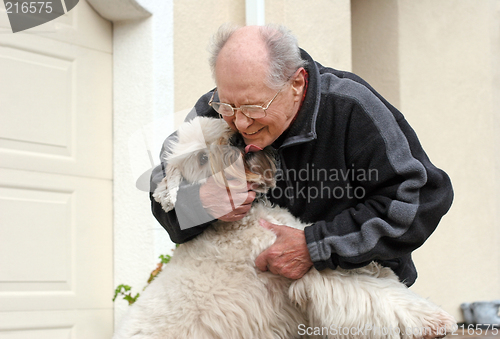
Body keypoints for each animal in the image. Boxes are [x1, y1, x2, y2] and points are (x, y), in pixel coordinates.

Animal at [113, 117, 458, 339]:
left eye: (220, 125)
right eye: (200, 158)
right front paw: (434, 320)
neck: (238, 224)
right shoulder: (307, 270)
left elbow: (368, 275)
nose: (236, 139)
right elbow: (374, 295)